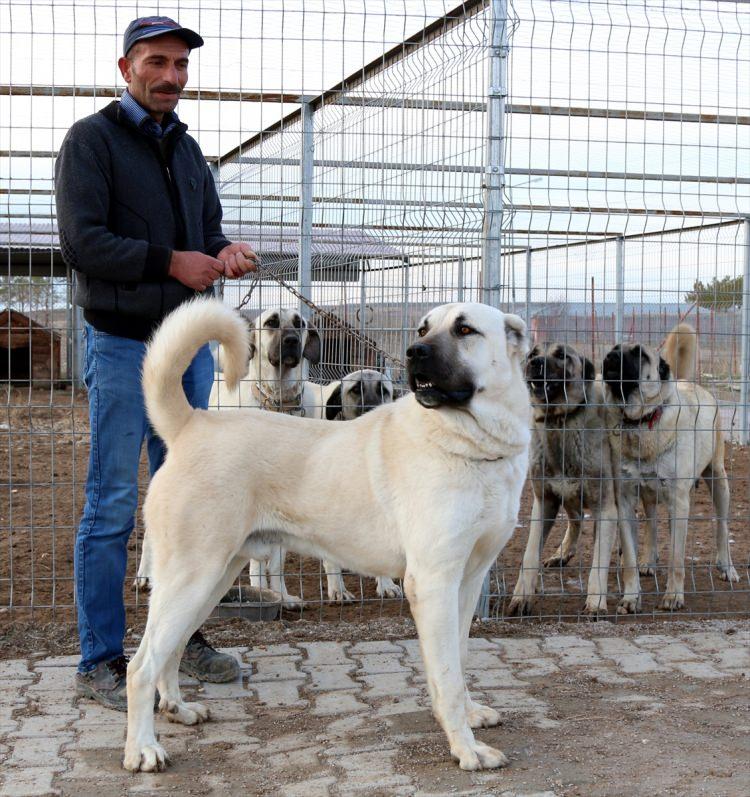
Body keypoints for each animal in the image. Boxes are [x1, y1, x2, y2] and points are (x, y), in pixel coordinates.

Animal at [123, 296, 532, 772]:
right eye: (423, 328)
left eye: (465, 330)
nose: (413, 352)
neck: (469, 442)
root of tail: (192, 424)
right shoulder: (433, 583)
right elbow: (447, 677)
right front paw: (466, 748)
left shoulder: (468, 582)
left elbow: (460, 661)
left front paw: (470, 715)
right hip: (192, 578)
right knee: (140, 666)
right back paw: (142, 749)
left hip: (212, 581)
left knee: (170, 650)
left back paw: (178, 708)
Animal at [604, 322, 740, 608]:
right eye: (614, 349)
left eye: (639, 354)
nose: (609, 357)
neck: (640, 421)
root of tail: (688, 382)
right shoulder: (625, 500)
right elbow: (629, 559)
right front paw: (631, 596)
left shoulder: (679, 501)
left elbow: (677, 559)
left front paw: (673, 595)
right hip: (651, 495)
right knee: (653, 523)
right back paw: (649, 560)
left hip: (719, 481)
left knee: (722, 526)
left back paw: (727, 567)